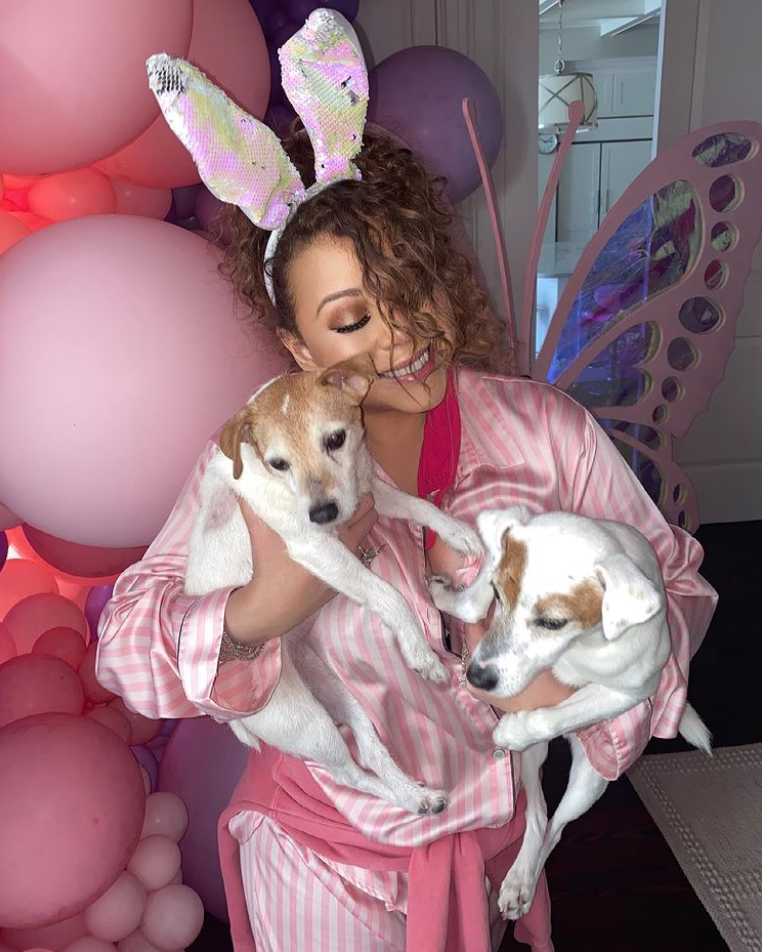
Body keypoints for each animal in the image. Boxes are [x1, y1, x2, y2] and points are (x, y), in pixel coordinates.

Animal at [185, 354, 482, 814]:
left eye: (336, 439)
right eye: (278, 463)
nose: (322, 513)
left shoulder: (368, 493)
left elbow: (419, 506)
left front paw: (457, 532)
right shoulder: (316, 549)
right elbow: (389, 597)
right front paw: (420, 654)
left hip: (339, 695)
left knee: (371, 752)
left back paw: (417, 796)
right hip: (309, 726)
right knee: (348, 774)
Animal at [428, 506, 711, 919]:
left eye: (553, 622)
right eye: (498, 593)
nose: (476, 677)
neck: (578, 647)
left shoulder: (635, 689)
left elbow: (557, 713)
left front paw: (511, 729)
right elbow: (472, 603)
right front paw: (444, 594)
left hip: (588, 783)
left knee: (556, 829)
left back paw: (525, 882)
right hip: (532, 762)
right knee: (537, 816)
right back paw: (517, 878)